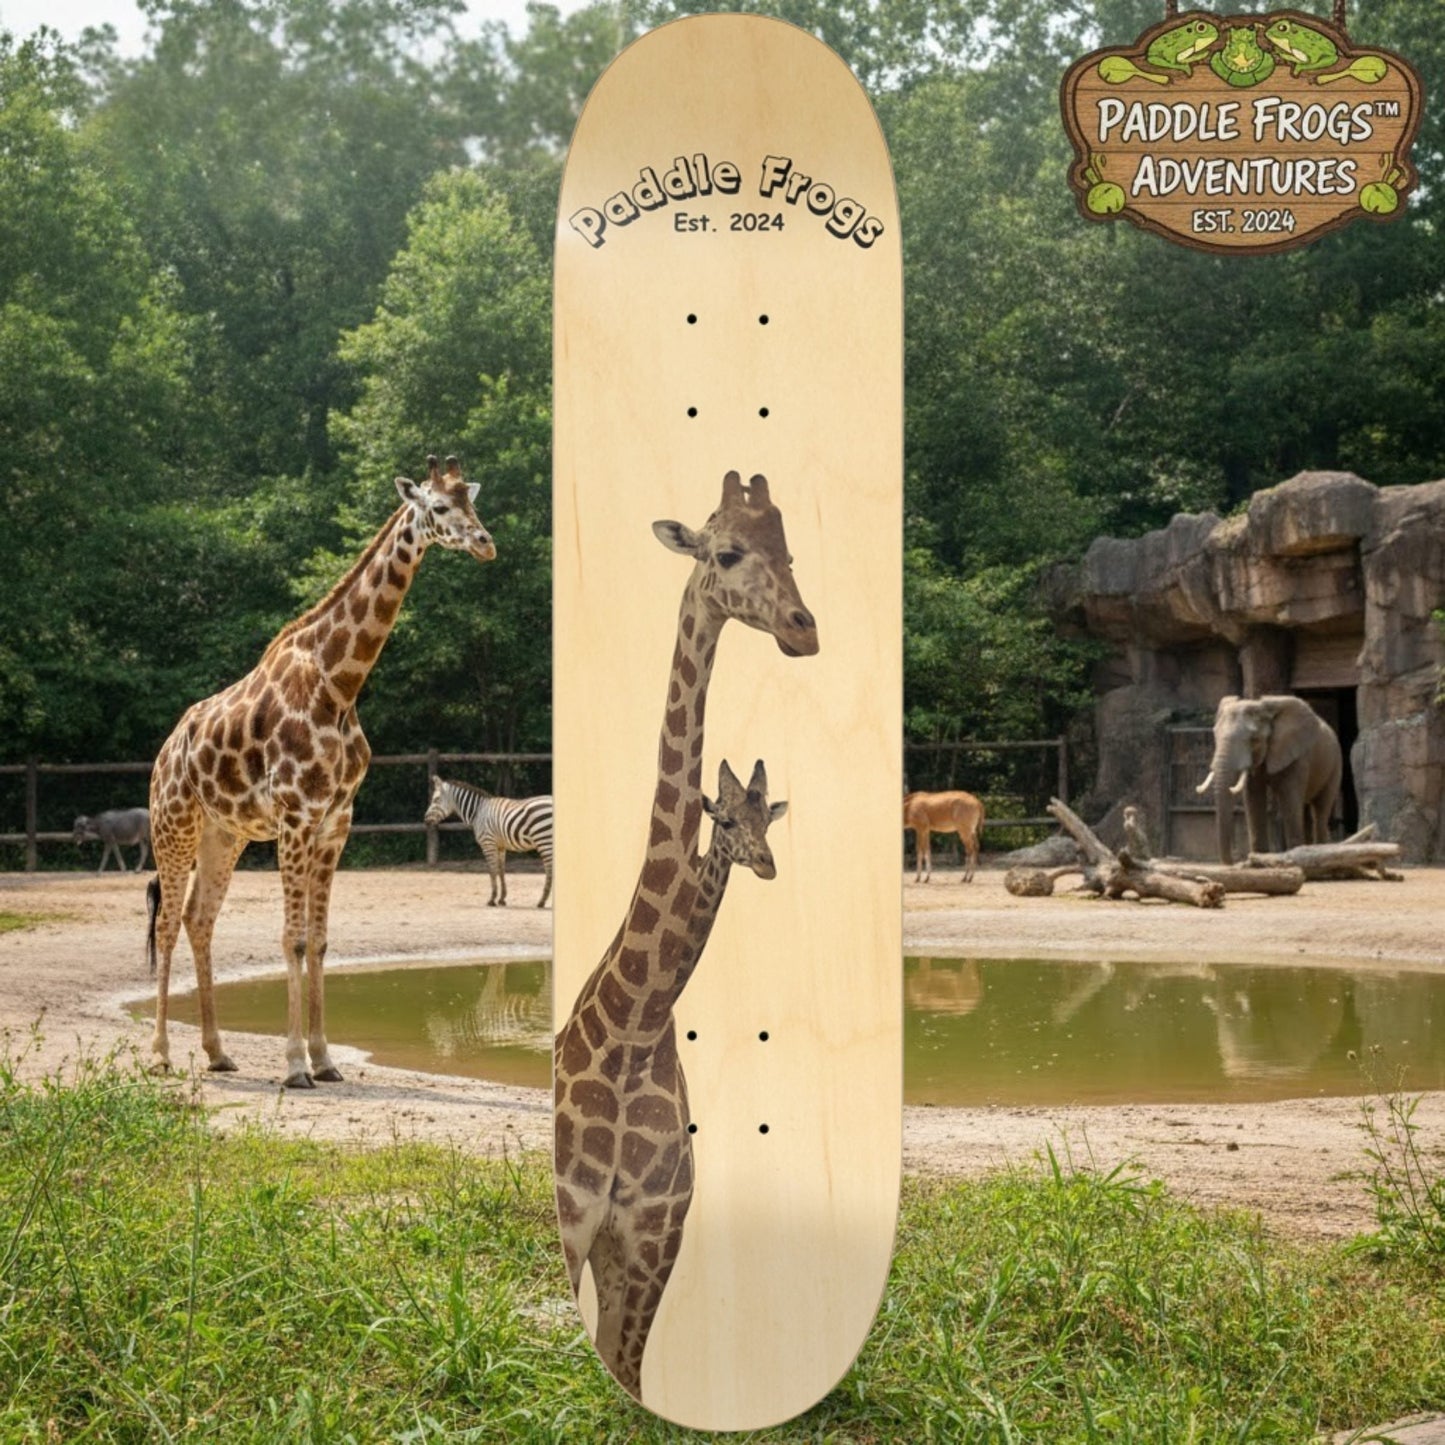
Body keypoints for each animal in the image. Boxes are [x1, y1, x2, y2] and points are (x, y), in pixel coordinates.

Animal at [147, 456, 495, 1089]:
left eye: (472, 502)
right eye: (438, 507)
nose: (486, 543)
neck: (341, 683)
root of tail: (165, 750)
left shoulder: (336, 821)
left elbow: (323, 941)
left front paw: (325, 1059)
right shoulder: (296, 815)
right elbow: (293, 938)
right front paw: (293, 1066)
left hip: (224, 834)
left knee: (198, 919)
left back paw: (217, 1051)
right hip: (174, 824)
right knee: (165, 923)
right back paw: (160, 1054)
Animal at [553, 469, 818, 1398]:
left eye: (790, 549)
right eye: (727, 551)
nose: (804, 628)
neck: (635, 1026)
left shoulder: (653, 1238)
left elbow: (626, 1378)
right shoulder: (573, 1223)